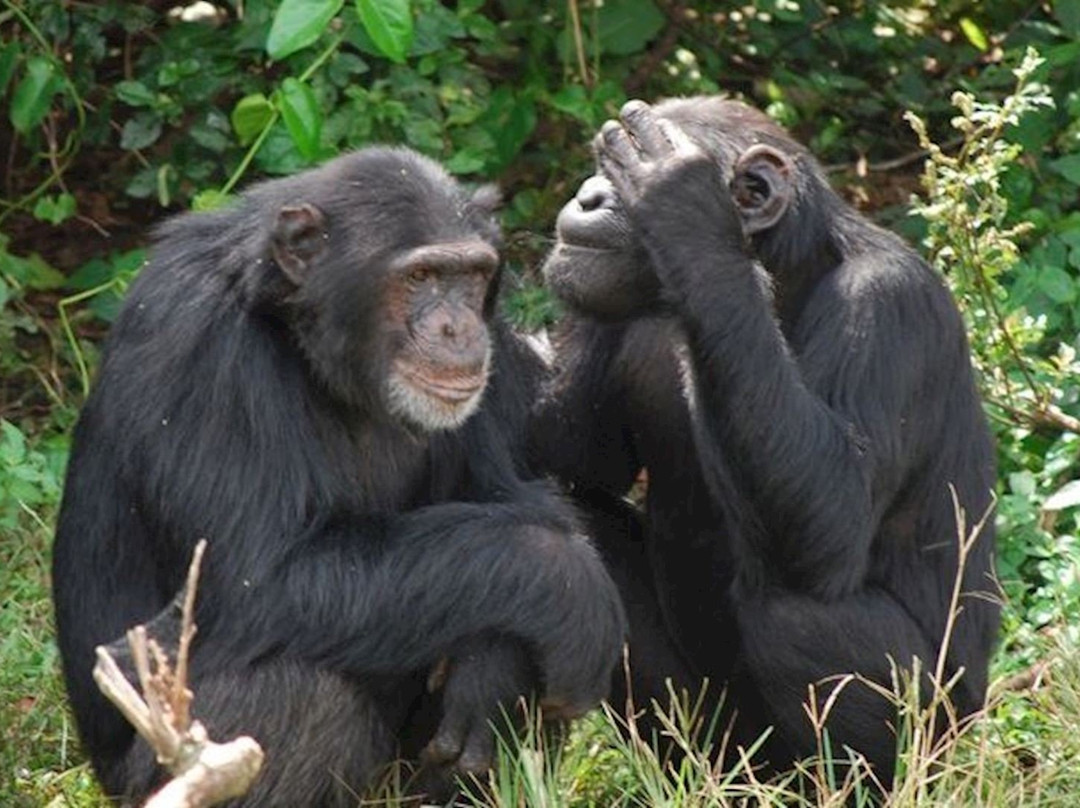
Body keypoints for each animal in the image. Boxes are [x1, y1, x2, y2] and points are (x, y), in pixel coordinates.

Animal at [52, 146, 626, 808]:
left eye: (472, 276)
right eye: (420, 278)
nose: (458, 326)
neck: (304, 336)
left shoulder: (500, 348)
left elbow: (515, 498)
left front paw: (492, 673)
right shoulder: (195, 347)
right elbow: (259, 577)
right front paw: (569, 585)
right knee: (295, 694)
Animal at [535, 94, 997, 782]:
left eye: (621, 167)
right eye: (597, 163)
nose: (588, 195)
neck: (788, 275)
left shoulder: (888, 307)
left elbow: (834, 514)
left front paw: (682, 208)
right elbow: (558, 439)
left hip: (936, 734)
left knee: (797, 614)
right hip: (720, 741)